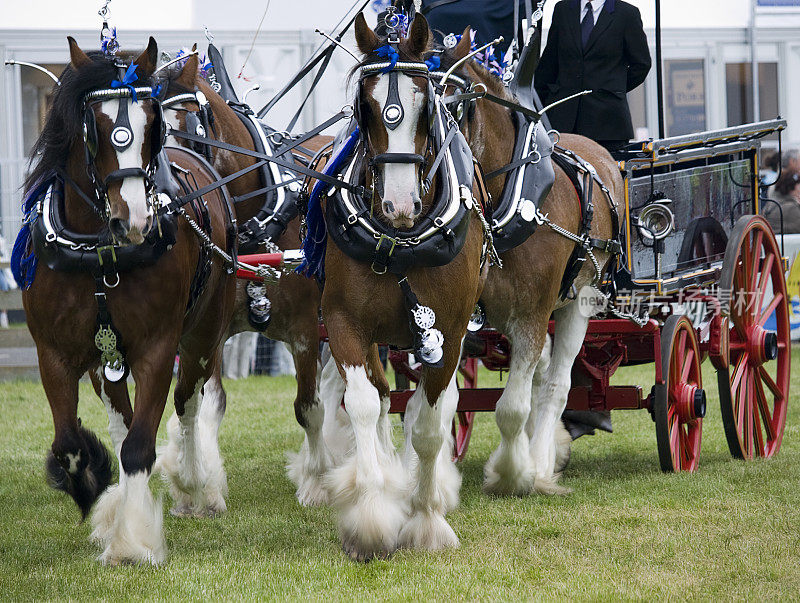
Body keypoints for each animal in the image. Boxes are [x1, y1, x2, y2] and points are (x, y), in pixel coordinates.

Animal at [18, 39, 236, 568]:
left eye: (148, 122)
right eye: (93, 125)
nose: (133, 217)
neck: (100, 253)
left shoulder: (157, 348)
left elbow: (141, 446)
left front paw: (132, 542)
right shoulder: (54, 354)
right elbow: (72, 445)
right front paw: (90, 484)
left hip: (201, 338)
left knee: (188, 403)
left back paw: (194, 483)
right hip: (106, 360)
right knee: (121, 419)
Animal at [318, 14, 488, 560]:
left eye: (423, 106)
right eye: (366, 108)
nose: (397, 204)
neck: (402, 242)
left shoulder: (448, 334)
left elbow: (431, 426)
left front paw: (427, 520)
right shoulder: (345, 323)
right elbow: (366, 403)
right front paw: (371, 517)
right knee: (379, 393)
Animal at [438, 31, 620, 496]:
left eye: (458, 105)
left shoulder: (533, 314)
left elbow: (512, 408)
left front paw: (511, 474)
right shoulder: (460, 315)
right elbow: (444, 401)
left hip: (579, 300)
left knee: (556, 383)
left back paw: (539, 462)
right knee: (542, 374)